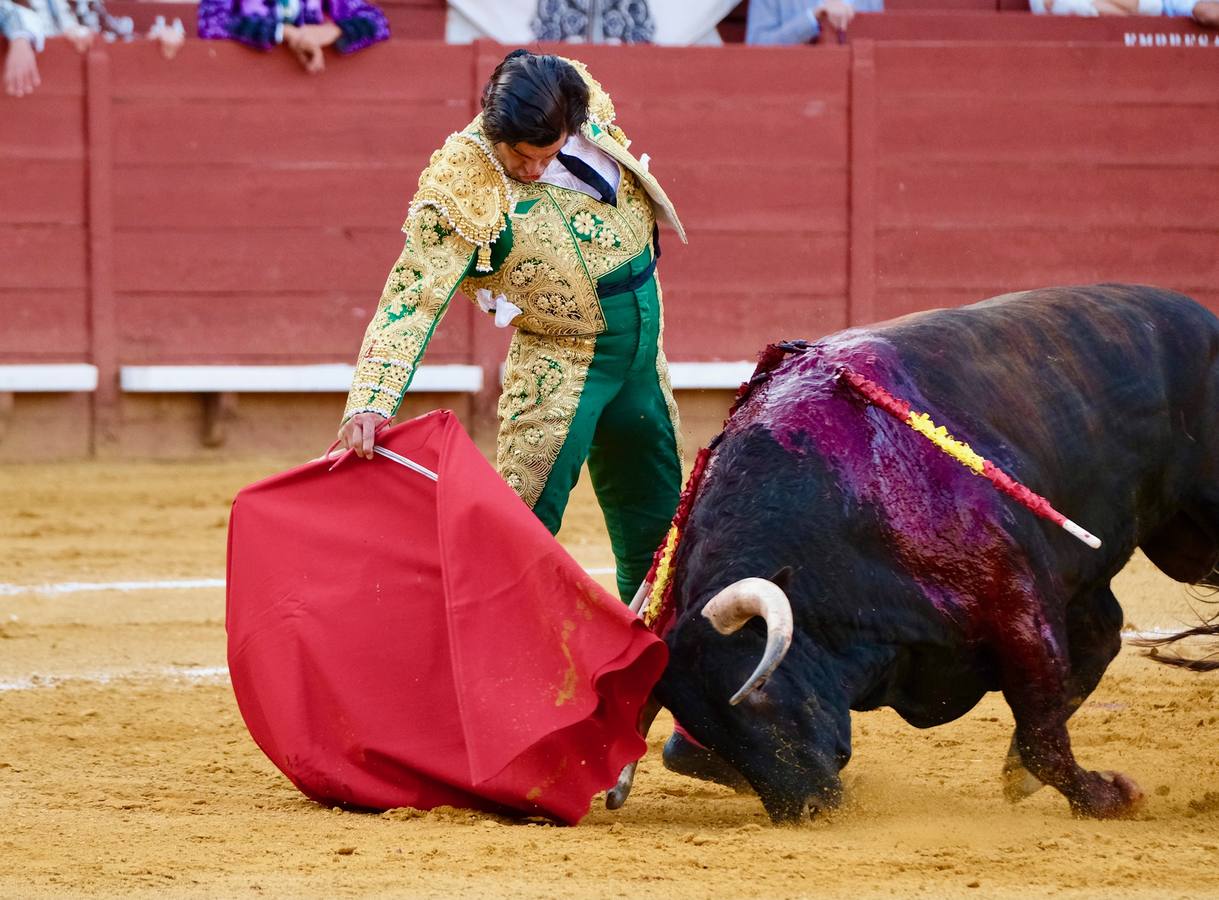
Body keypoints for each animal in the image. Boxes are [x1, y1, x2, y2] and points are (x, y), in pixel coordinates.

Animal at [648, 284, 1219, 814]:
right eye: (706, 727)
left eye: (758, 694)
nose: (806, 809)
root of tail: (1202, 318)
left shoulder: (1021, 612)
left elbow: (1043, 732)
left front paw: (1110, 798)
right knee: (1105, 632)